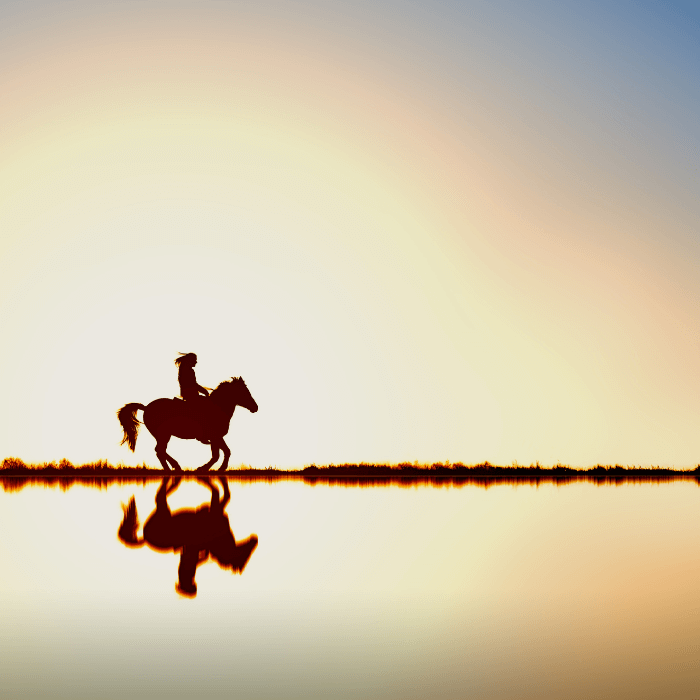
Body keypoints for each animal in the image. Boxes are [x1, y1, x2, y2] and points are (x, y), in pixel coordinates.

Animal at [117, 378, 260, 470]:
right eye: (243, 392)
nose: (255, 407)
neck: (218, 408)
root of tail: (146, 407)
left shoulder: (217, 437)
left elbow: (223, 452)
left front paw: (215, 468)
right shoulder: (215, 436)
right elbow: (219, 454)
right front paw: (206, 468)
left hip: (162, 435)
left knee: (160, 451)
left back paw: (173, 467)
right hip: (164, 435)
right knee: (160, 450)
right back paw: (174, 467)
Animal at [117, 476, 260, 596]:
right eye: (245, 557)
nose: (255, 540)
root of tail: (145, 538)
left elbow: (223, 492)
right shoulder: (215, 507)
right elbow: (222, 492)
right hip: (163, 509)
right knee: (160, 494)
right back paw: (175, 479)